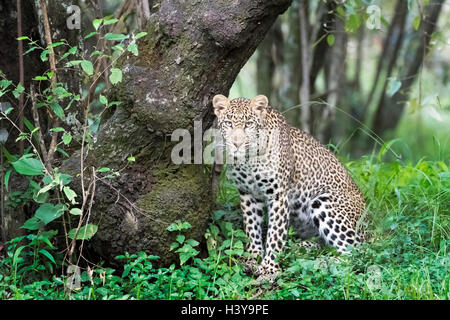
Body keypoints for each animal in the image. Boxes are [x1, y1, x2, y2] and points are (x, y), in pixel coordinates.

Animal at [212, 93, 366, 280]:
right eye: (228, 123)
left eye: (249, 124)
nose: (237, 143)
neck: (248, 160)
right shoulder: (248, 194)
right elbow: (251, 227)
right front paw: (252, 258)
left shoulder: (278, 194)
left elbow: (275, 233)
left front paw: (269, 268)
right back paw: (301, 248)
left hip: (325, 202)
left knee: (357, 253)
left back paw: (321, 262)